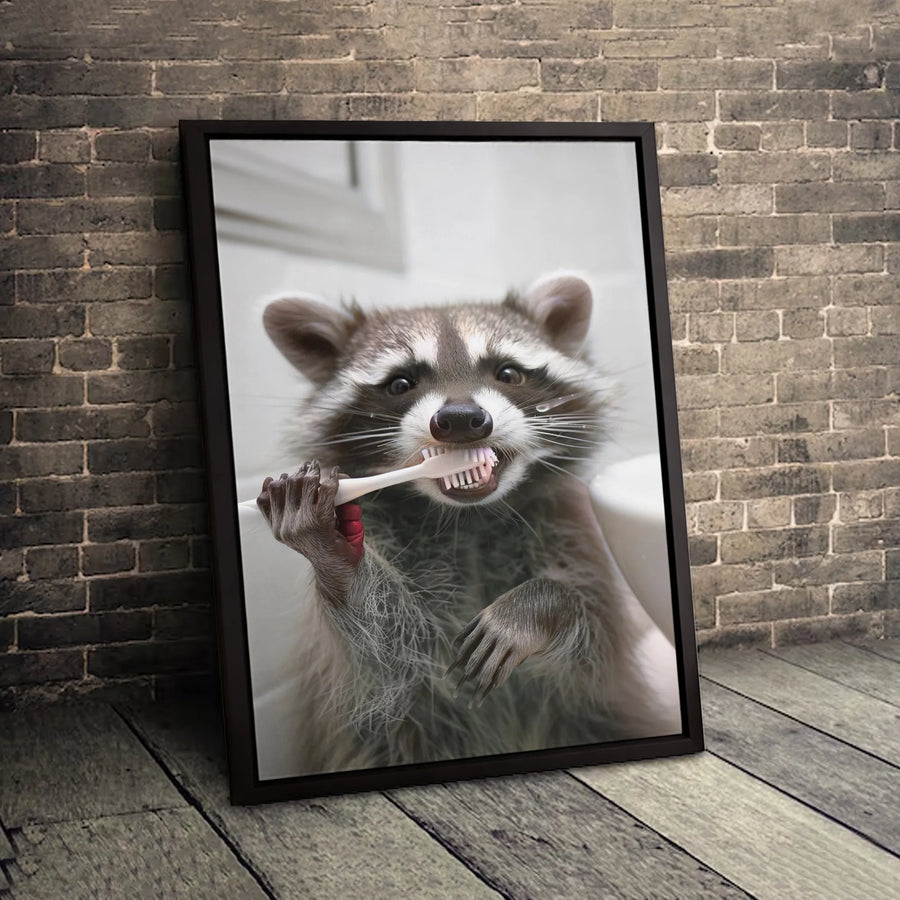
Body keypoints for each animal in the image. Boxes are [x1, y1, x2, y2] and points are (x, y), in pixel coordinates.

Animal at [256, 273, 681, 775]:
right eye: (400, 383)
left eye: (508, 373)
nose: (461, 419)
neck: (469, 518)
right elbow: (387, 656)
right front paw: (337, 560)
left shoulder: (572, 535)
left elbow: (592, 646)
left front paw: (541, 605)